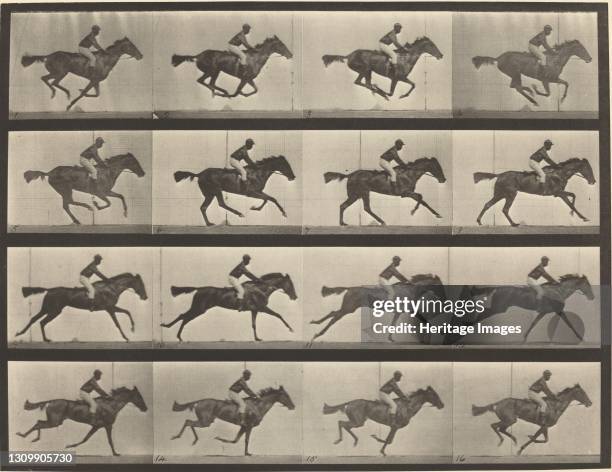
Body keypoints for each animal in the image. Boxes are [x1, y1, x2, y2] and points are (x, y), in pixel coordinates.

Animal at [16, 272, 148, 342]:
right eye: (141, 284)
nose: (145, 297)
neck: (111, 288)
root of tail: (49, 290)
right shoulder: (110, 308)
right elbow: (118, 322)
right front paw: (127, 337)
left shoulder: (111, 308)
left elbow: (127, 312)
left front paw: (132, 329)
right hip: (54, 310)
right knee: (41, 321)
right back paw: (44, 339)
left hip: (49, 309)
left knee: (36, 319)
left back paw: (22, 334)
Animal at [17, 386, 147, 456]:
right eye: (139, 397)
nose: (145, 408)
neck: (110, 405)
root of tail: (52, 401)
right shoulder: (107, 425)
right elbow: (110, 441)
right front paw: (115, 453)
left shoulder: (96, 426)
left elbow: (86, 438)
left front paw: (70, 445)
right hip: (55, 422)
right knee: (38, 423)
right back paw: (25, 436)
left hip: (55, 421)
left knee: (39, 422)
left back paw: (31, 437)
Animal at [160, 272, 298, 342]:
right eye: (290, 284)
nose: (295, 297)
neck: (261, 289)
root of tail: (199, 288)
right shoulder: (262, 308)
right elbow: (279, 315)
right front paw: (291, 329)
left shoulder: (254, 310)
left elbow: (253, 324)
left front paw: (257, 338)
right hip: (200, 308)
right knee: (184, 317)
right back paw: (176, 334)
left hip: (198, 308)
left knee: (183, 316)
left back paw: (171, 330)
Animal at [310, 272, 444, 342]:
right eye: (441, 286)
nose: (444, 297)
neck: (411, 290)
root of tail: (350, 288)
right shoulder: (406, 311)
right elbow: (424, 322)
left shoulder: (403, 311)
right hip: (348, 308)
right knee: (335, 317)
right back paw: (318, 334)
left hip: (349, 308)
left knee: (333, 313)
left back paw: (315, 323)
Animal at [448, 272, 596, 342]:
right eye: (587, 285)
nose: (592, 297)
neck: (559, 291)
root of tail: (499, 288)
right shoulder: (558, 310)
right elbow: (570, 324)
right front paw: (581, 338)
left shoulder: (544, 312)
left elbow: (534, 323)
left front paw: (524, 337)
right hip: (499, 308)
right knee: (482, 314)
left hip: (499, 308)